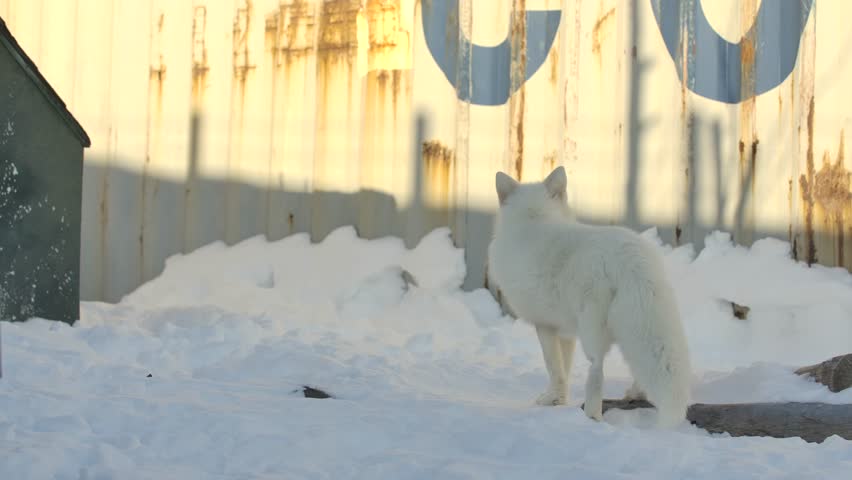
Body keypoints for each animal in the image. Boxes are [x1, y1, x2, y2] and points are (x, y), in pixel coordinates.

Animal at [487, 166, 691, 428]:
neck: (535, 220)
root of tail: (629, 257)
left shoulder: (544, 325)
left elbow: (553, 367)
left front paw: (550, 400)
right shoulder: (565, 332)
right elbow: (563, 369)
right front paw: (559, 401)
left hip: (591, 330)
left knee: (596, 368)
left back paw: (593, 417)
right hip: (638, 323)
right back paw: (635, 394)